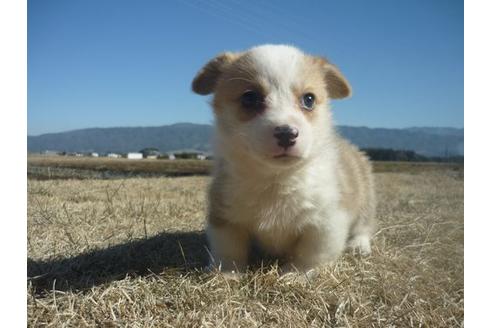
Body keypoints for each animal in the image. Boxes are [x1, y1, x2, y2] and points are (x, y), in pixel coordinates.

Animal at [192, 44, 376, 272]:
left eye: (309, 99)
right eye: (249, 98)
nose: (287, 133)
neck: (277, 178)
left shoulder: (326, 222)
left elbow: (311, 254)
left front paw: (297, 274)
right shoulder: (224, 216)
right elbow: (228, 249)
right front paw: (227, 273)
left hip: (366, 195)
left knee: (364, 225)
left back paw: (359, 245)